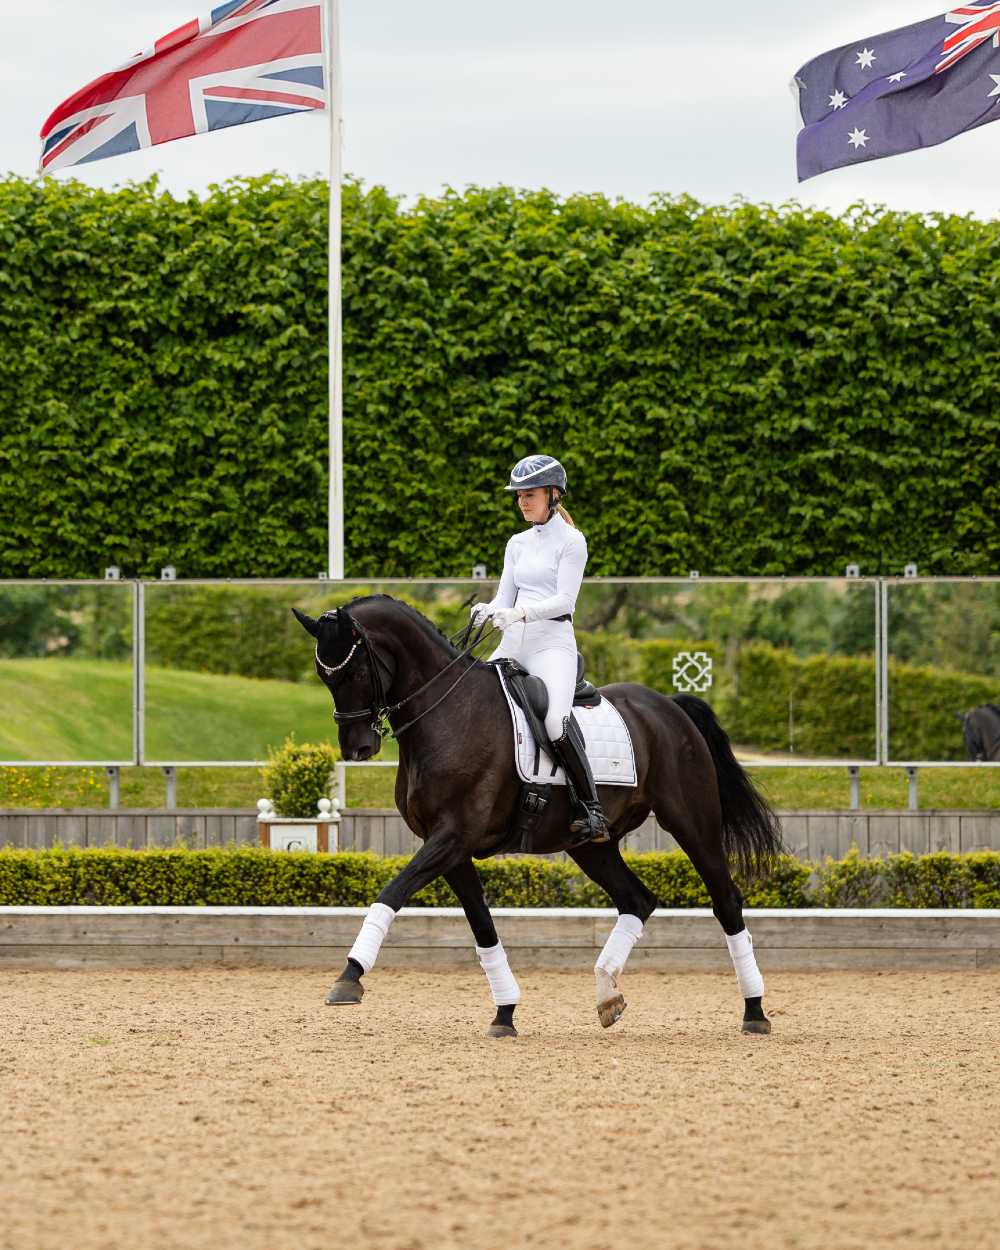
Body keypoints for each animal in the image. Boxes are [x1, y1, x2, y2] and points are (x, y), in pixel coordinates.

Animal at [292, 595, 785, 1035]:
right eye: (322, 674)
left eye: (356, 670)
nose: (357, 749)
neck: (448, 714)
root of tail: (667, 705)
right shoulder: (450, 847)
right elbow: (482, 926)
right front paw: (505, 1013)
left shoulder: (452, 836)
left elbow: (392, 892)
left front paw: (349, 977)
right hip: (591, 845)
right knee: (637, 901)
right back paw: (607, 995)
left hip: (691, 822)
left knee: (726, 900)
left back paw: (755, 1012)